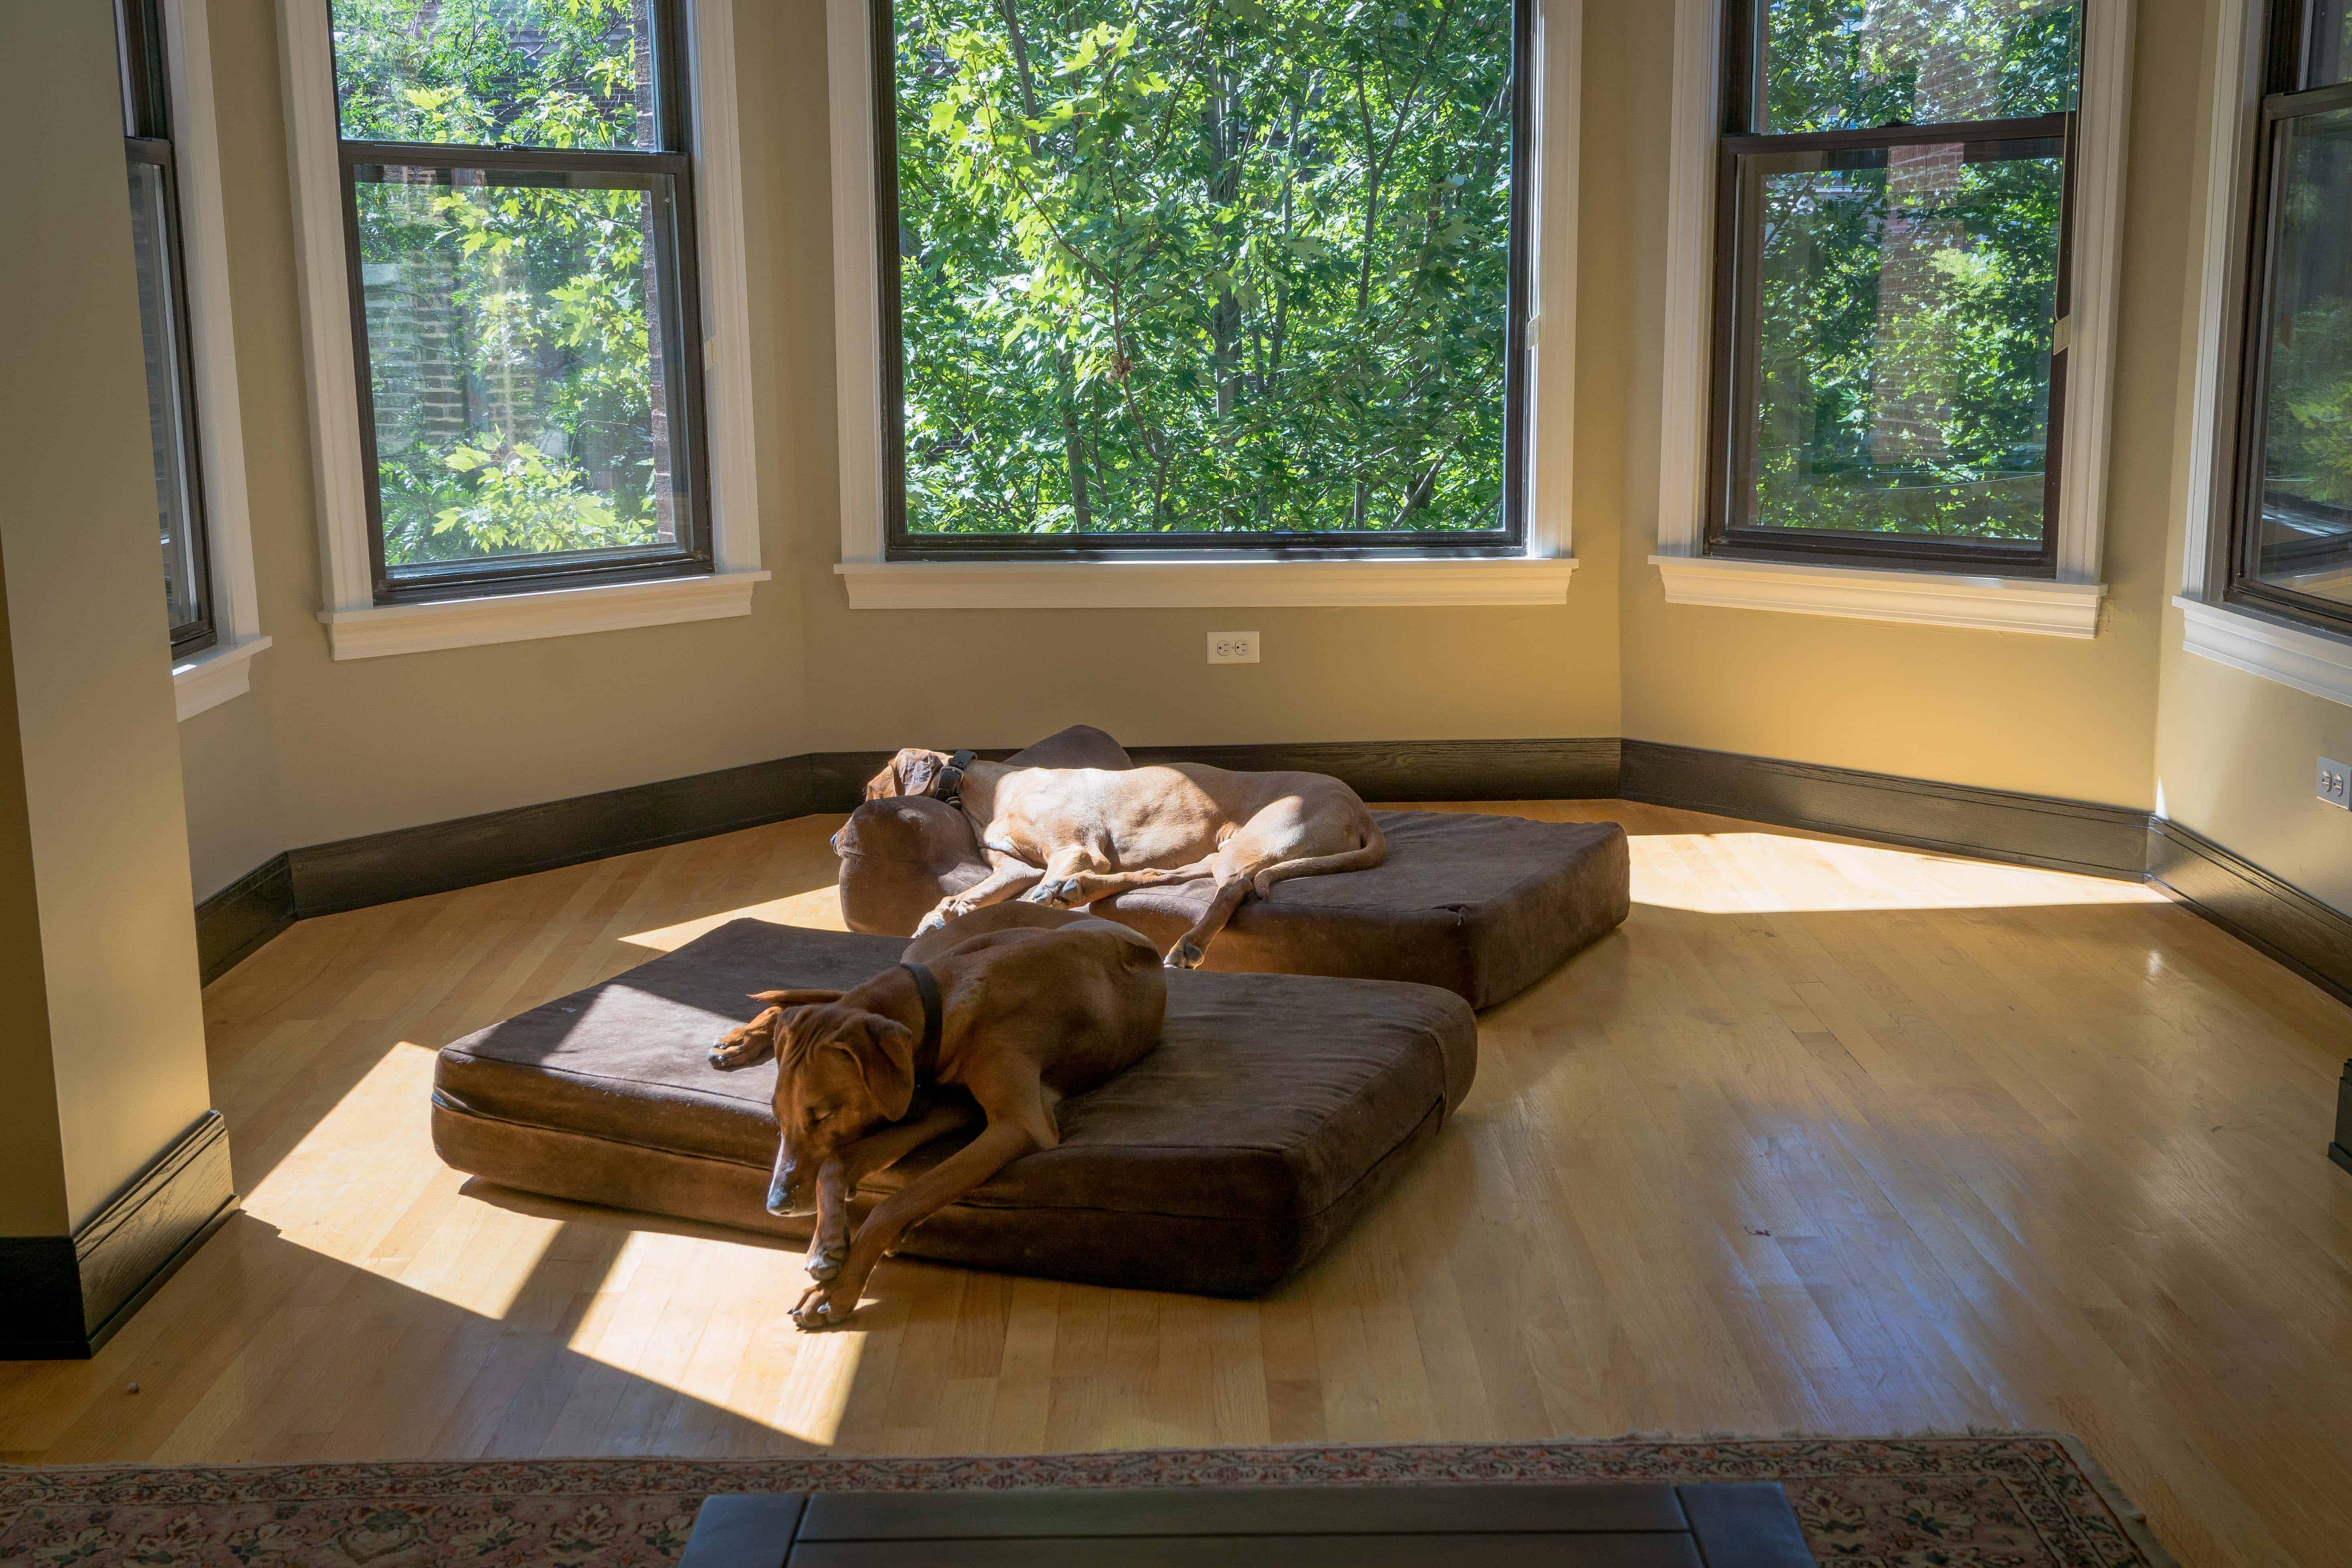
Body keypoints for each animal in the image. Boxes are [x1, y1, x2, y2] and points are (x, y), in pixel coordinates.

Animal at [705, 903, 1167, 1335]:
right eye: (777, 1114)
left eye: (824, 1114)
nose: (776, 1206)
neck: (943, 1003)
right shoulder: (947, 1100)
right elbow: (839, 1164)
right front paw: (827, 1244)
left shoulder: (1012, 1123)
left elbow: (895, 1201)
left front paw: (836, 1289)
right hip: (937, 951)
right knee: (807, 1001)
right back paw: (743, 1038)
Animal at [865, 748, 1383, 968]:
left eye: (869, 791)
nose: (838, 837)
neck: (981, 790)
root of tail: (1361, 811)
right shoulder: (1016, 867)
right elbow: (970, 895)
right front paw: (940, 915)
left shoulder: (1073, 849)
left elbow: (1031, 899)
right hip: (1224, 845)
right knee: (1169, 874)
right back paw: (1083, 890)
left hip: (1256, 840)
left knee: (1230, 889)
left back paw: (1189, 944)